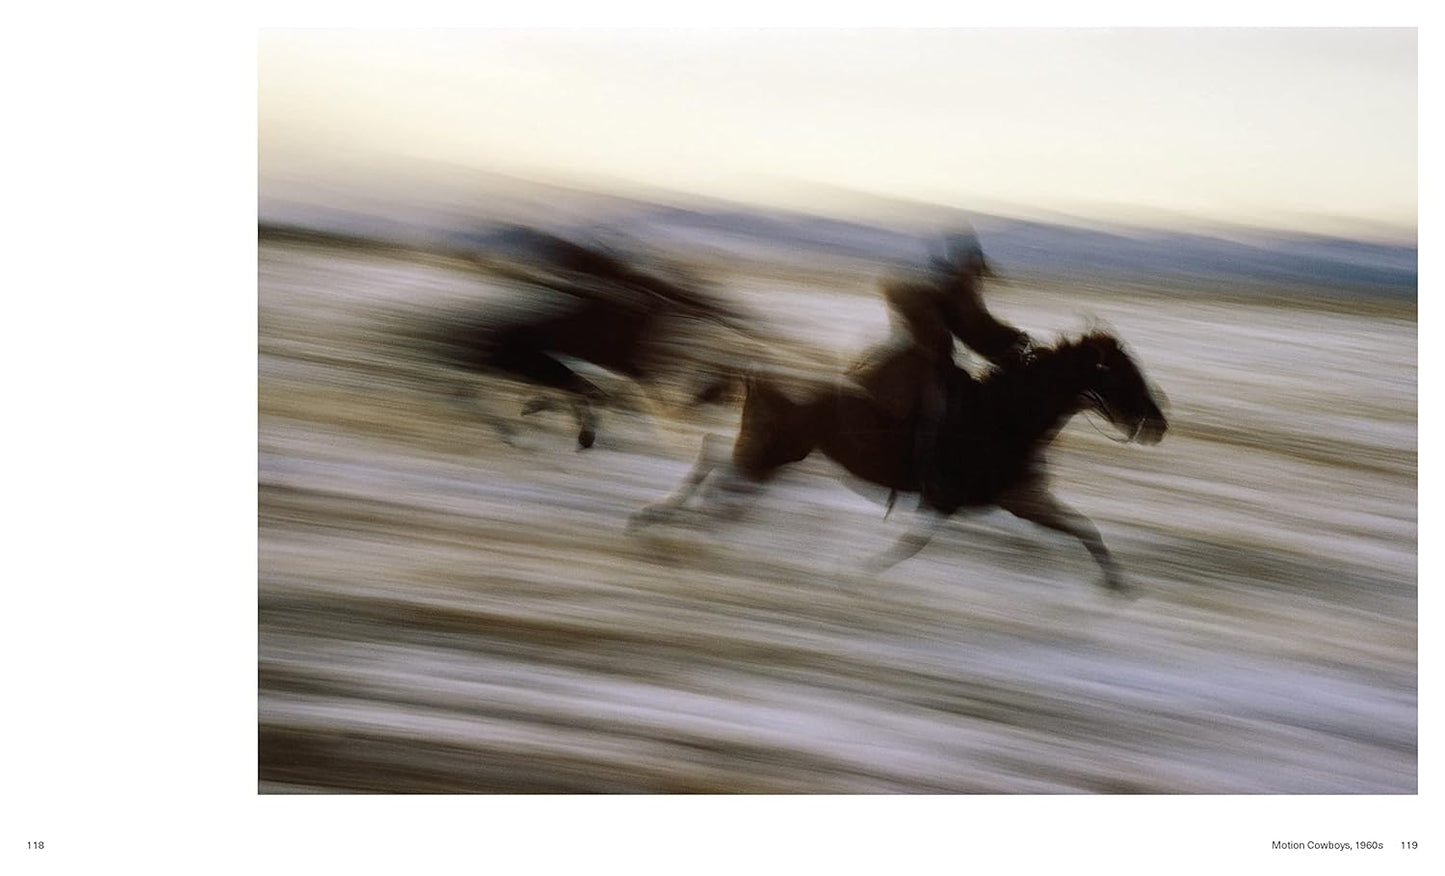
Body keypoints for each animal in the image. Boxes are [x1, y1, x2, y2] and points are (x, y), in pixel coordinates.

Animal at [627, 332, 1167, 592]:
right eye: (1123, 374)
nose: (1158, 424)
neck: (1003, 417)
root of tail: (756, 371)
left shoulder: (1019, 498)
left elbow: (1084, 529)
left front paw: (1119, 586)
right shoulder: (948, 500)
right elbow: (910, 545)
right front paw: (856, 572)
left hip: (771, 451)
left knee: (714, 460)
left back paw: (661, 520)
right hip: (772, 452)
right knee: (721, 474)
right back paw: (673, 525)